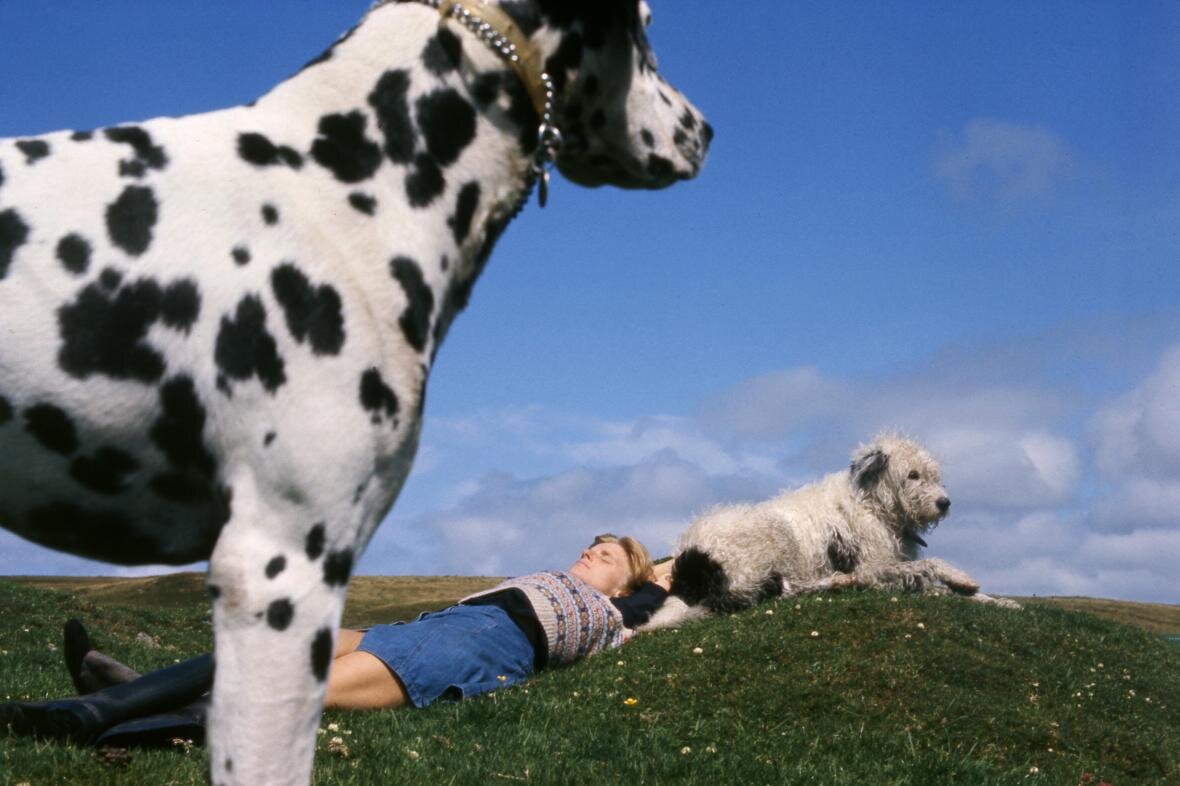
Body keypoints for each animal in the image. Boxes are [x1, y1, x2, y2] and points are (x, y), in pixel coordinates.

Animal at [641, 431, 1019, 627]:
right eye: (912, 475)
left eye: (932, 475)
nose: (944, 503)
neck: (873, 504)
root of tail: (691, 557)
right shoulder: (875, 566)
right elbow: (930, 566)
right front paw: (961, 579)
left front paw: (998, 601)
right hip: (762, 549)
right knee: (774, 593)